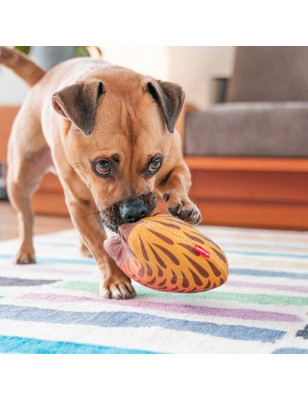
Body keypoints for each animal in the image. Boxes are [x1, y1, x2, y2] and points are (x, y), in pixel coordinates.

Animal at [0, 47, 202, 298]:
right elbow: (100, 247)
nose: (135, 212)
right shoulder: (80, 202)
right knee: (26, 216)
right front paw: (116, 281)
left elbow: (177, 181)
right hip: (20, 179)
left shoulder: (175, 164)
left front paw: (184, 204)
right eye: (102, 165)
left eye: (155, 163)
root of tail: (42, 77)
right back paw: (25, 250)